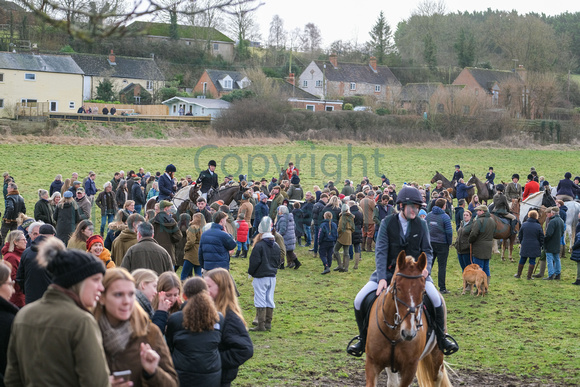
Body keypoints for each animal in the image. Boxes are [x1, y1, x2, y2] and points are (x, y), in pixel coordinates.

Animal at [364, 252, 450, 387]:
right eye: (398, 288)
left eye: (423, 291)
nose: (409, 333)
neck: (394, 333)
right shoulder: (372, 364)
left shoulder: (409, 369)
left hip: (436, 352)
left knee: (437, 377)